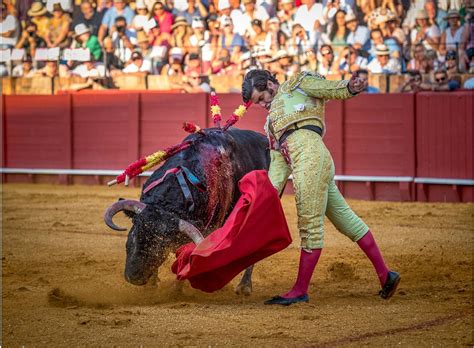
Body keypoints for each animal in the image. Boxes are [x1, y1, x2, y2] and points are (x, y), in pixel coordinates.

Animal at [104, 126, 270, 294]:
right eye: (133, 235)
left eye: (161, 247)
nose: (134, 278)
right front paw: (153, 285)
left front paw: (176, 290)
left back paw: (244, 287)